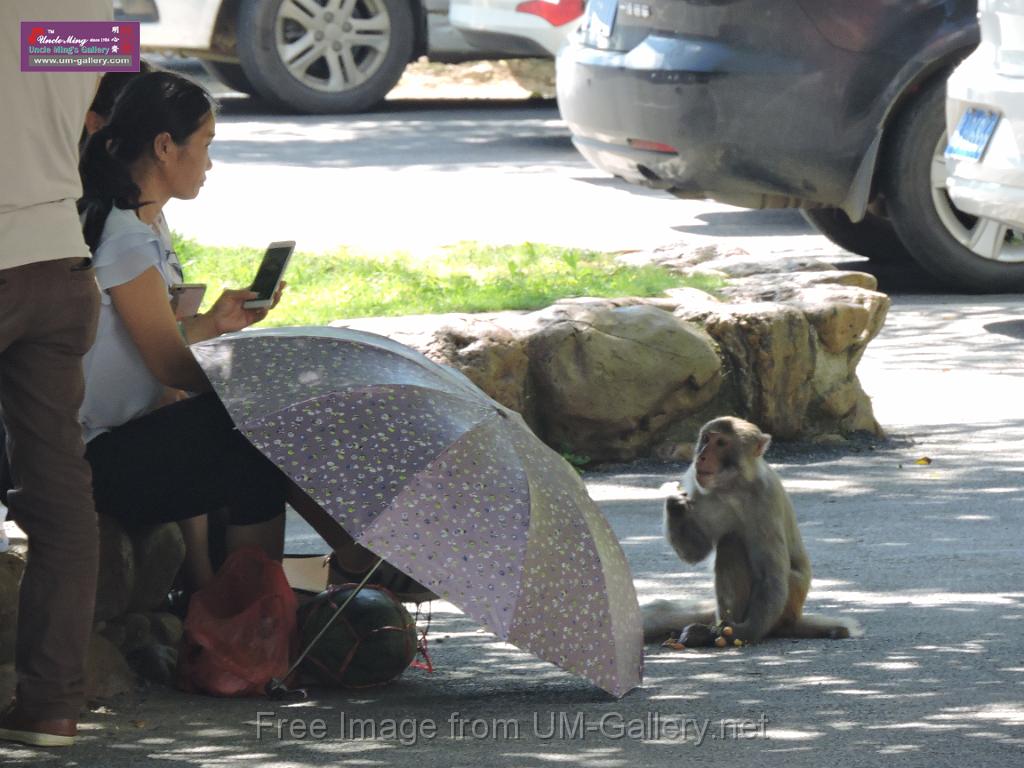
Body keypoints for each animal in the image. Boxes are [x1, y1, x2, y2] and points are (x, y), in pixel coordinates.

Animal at [643, 417, 851, 647]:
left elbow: (769, 575)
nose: (701, 456)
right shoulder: (696, 485)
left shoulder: (765, 497)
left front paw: (744, 633)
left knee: (731, 542)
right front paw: (676, 505)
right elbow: (696, 552)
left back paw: (718, 631)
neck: (732, 487)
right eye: (706, 439)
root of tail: (795, 617)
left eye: (721, 443)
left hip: (788, 602)